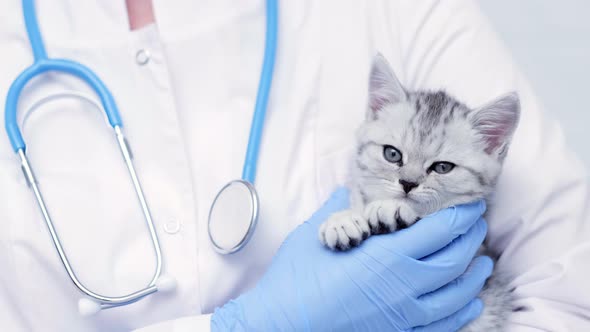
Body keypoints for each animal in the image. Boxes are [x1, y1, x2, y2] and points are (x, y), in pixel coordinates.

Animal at [322, 53, 520, 330]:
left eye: (443, 167)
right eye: (392, 154)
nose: (407, 183)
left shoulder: (479, 274)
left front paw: (389, 208)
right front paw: (344, 219)